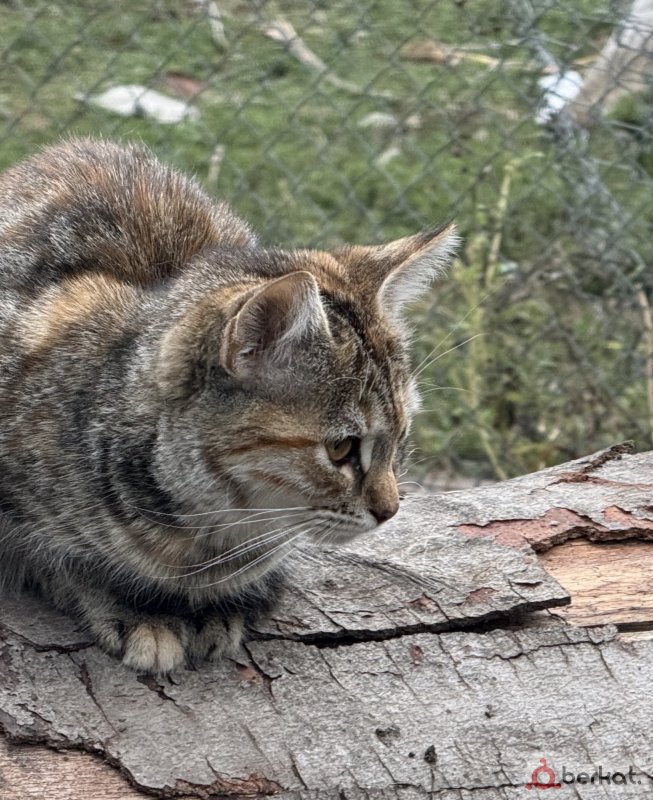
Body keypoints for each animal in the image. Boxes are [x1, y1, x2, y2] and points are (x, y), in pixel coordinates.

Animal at [0, 139, 458, 676]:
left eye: (401, 439)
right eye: (342, 449)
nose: (390, 511)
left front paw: (222, 604)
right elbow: (63, 559)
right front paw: (129, 606)